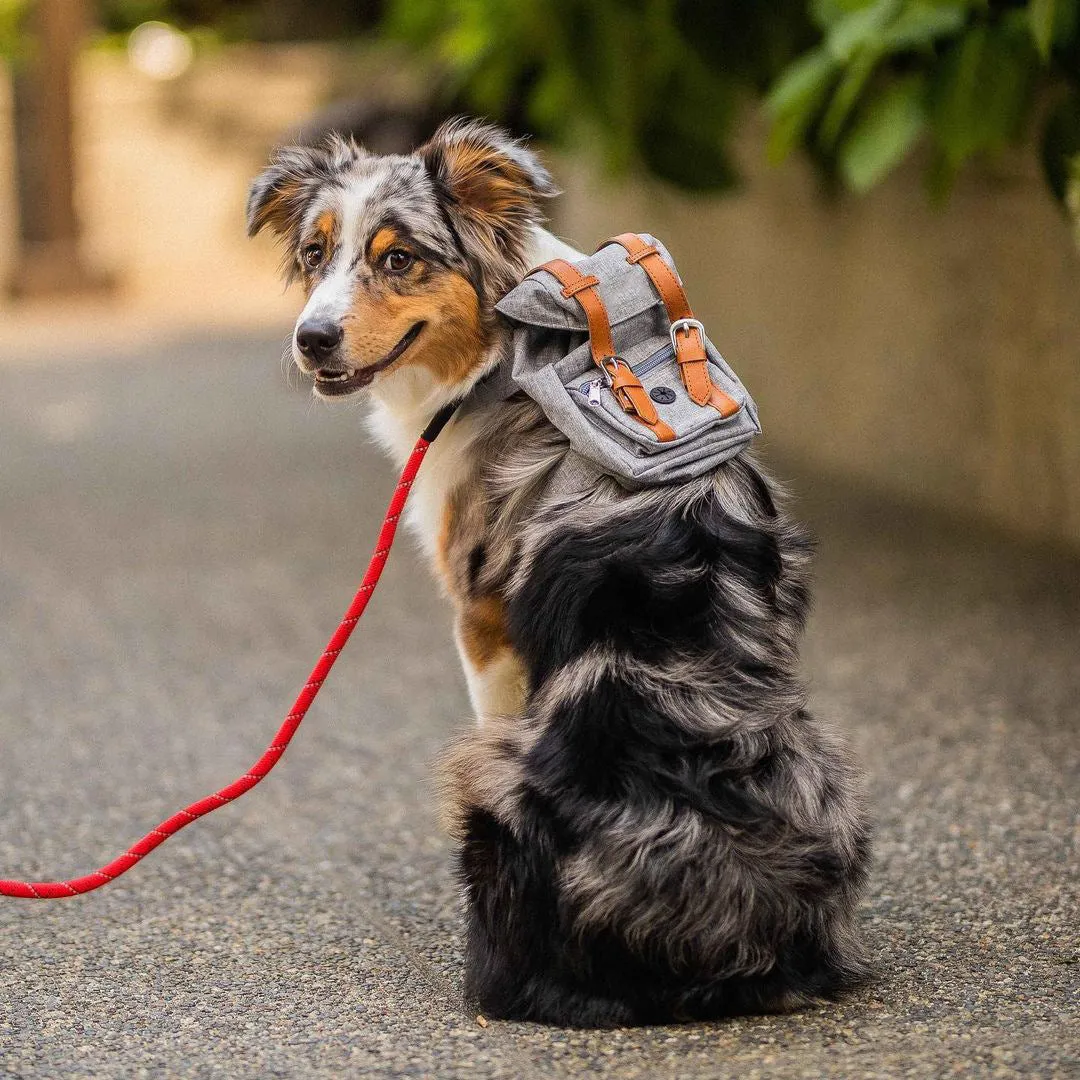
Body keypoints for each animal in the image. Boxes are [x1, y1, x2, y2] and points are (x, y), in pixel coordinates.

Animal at [248, 118, 872, 1028]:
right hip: (830, 782)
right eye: (316, 252)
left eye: (400, 259)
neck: (505, 351)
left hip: (483, 772)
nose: (311, 339)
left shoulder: (481, 621)